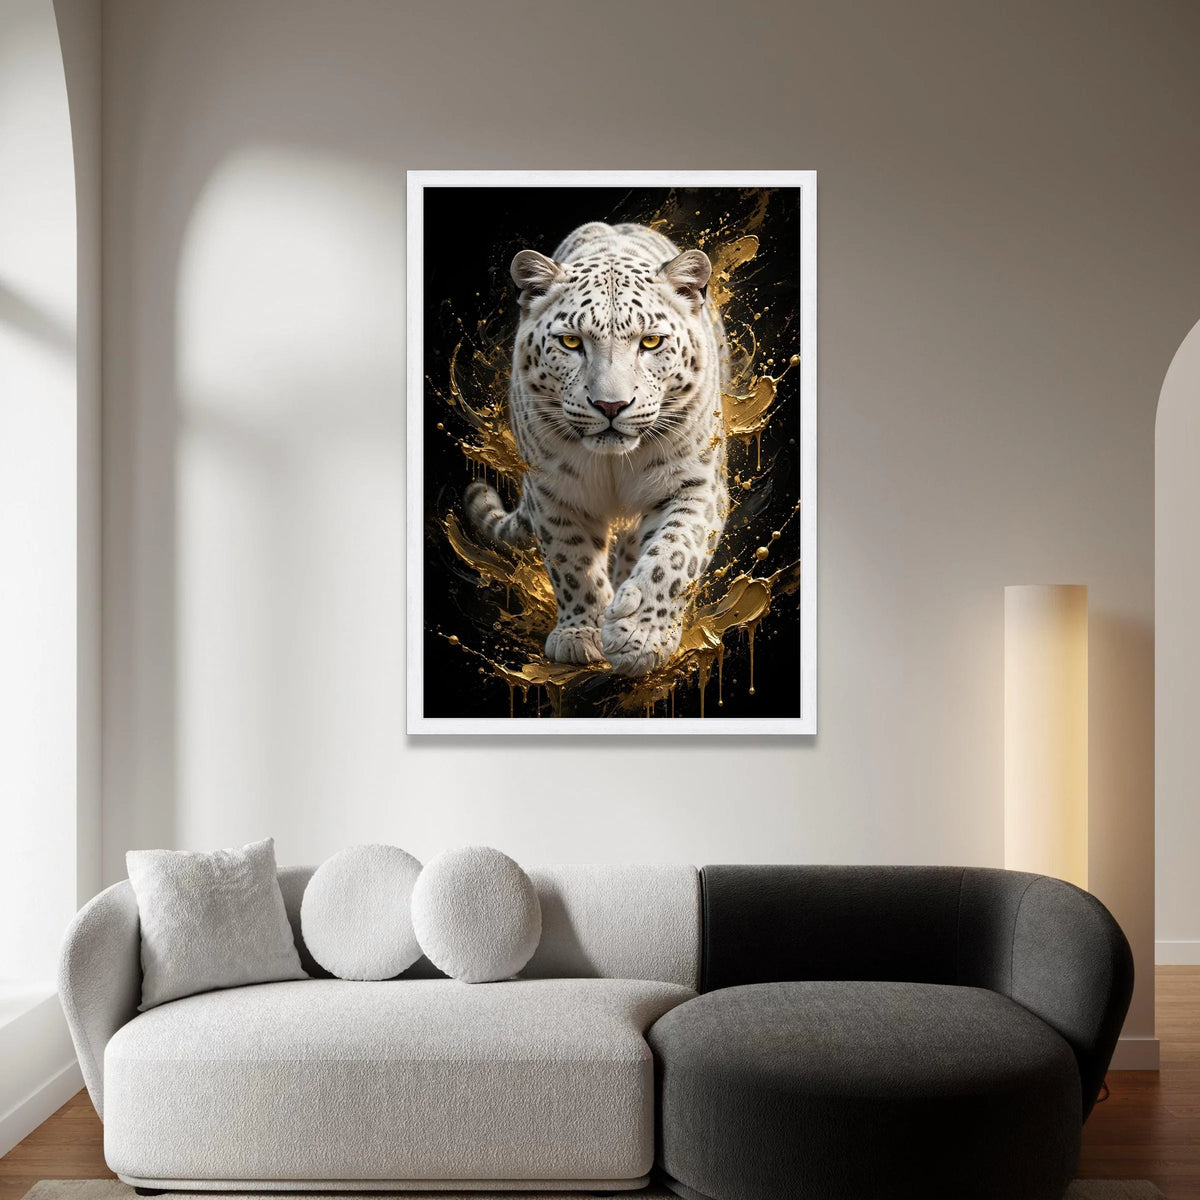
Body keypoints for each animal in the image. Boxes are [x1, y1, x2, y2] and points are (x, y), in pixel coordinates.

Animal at [464, 221, 729, 677]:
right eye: (571, 342)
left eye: (651, 342)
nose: (610, 405)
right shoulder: (553, 492)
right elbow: (572, 563)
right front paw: (580, 635)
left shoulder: (697, 486)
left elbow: (674, 555)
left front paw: (639, 639)